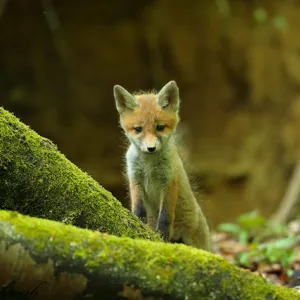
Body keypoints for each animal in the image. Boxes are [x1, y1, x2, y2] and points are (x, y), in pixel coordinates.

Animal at [113, 79, 211, 251]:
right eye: (138, 129)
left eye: (159, 127)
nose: (151, 148)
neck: (149, 165)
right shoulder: (135, 178)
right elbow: (138, 208)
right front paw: (138, 223)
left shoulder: (169, 180)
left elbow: (165, 216)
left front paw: (162, 235)